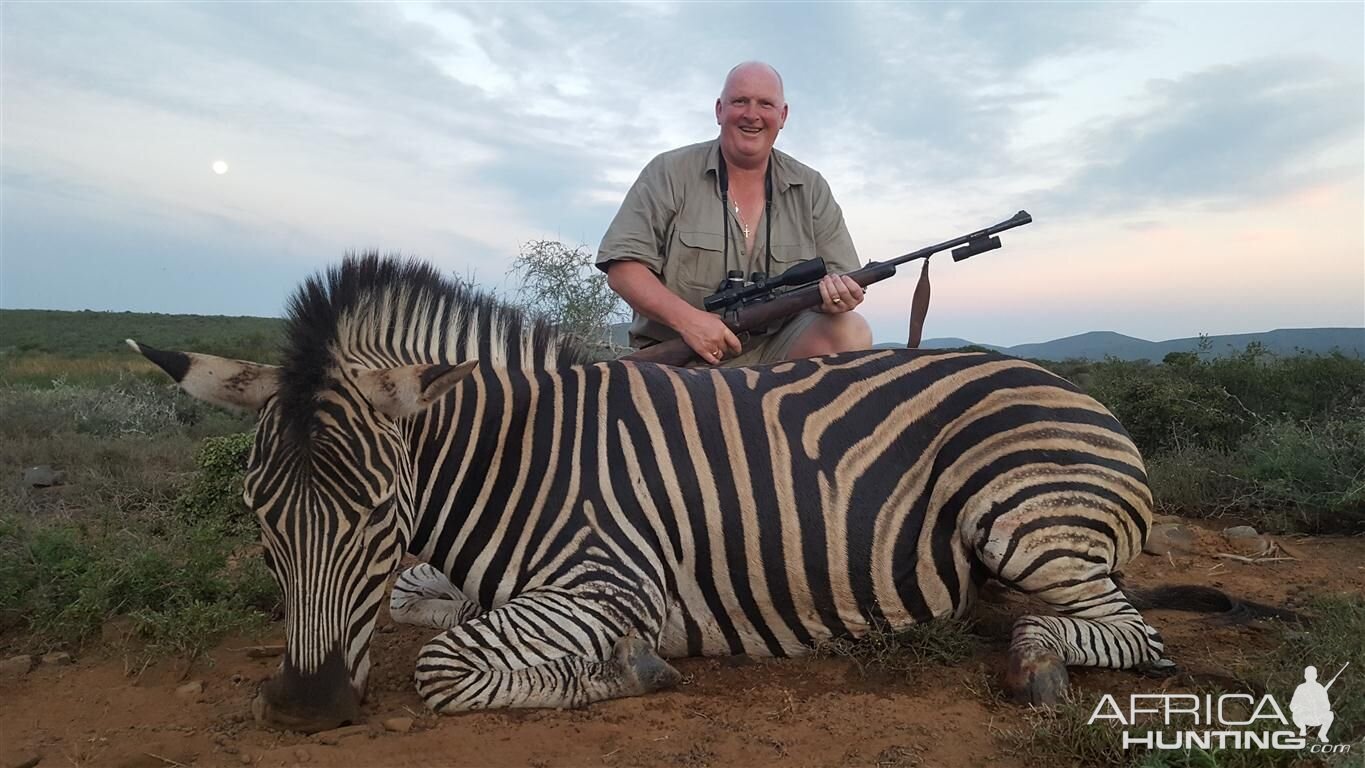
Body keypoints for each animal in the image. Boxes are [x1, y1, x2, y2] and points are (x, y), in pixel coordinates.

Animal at [133, 255, 1179, 731]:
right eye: (258, 516)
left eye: (380, 516)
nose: (306, 706)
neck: (516, 456)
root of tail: (1070, 386)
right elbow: (419, 611)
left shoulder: (613, 580)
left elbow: (444, 666)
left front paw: (628, 669)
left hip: (1019, 518)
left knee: (1133, 636)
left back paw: (1033, 659)